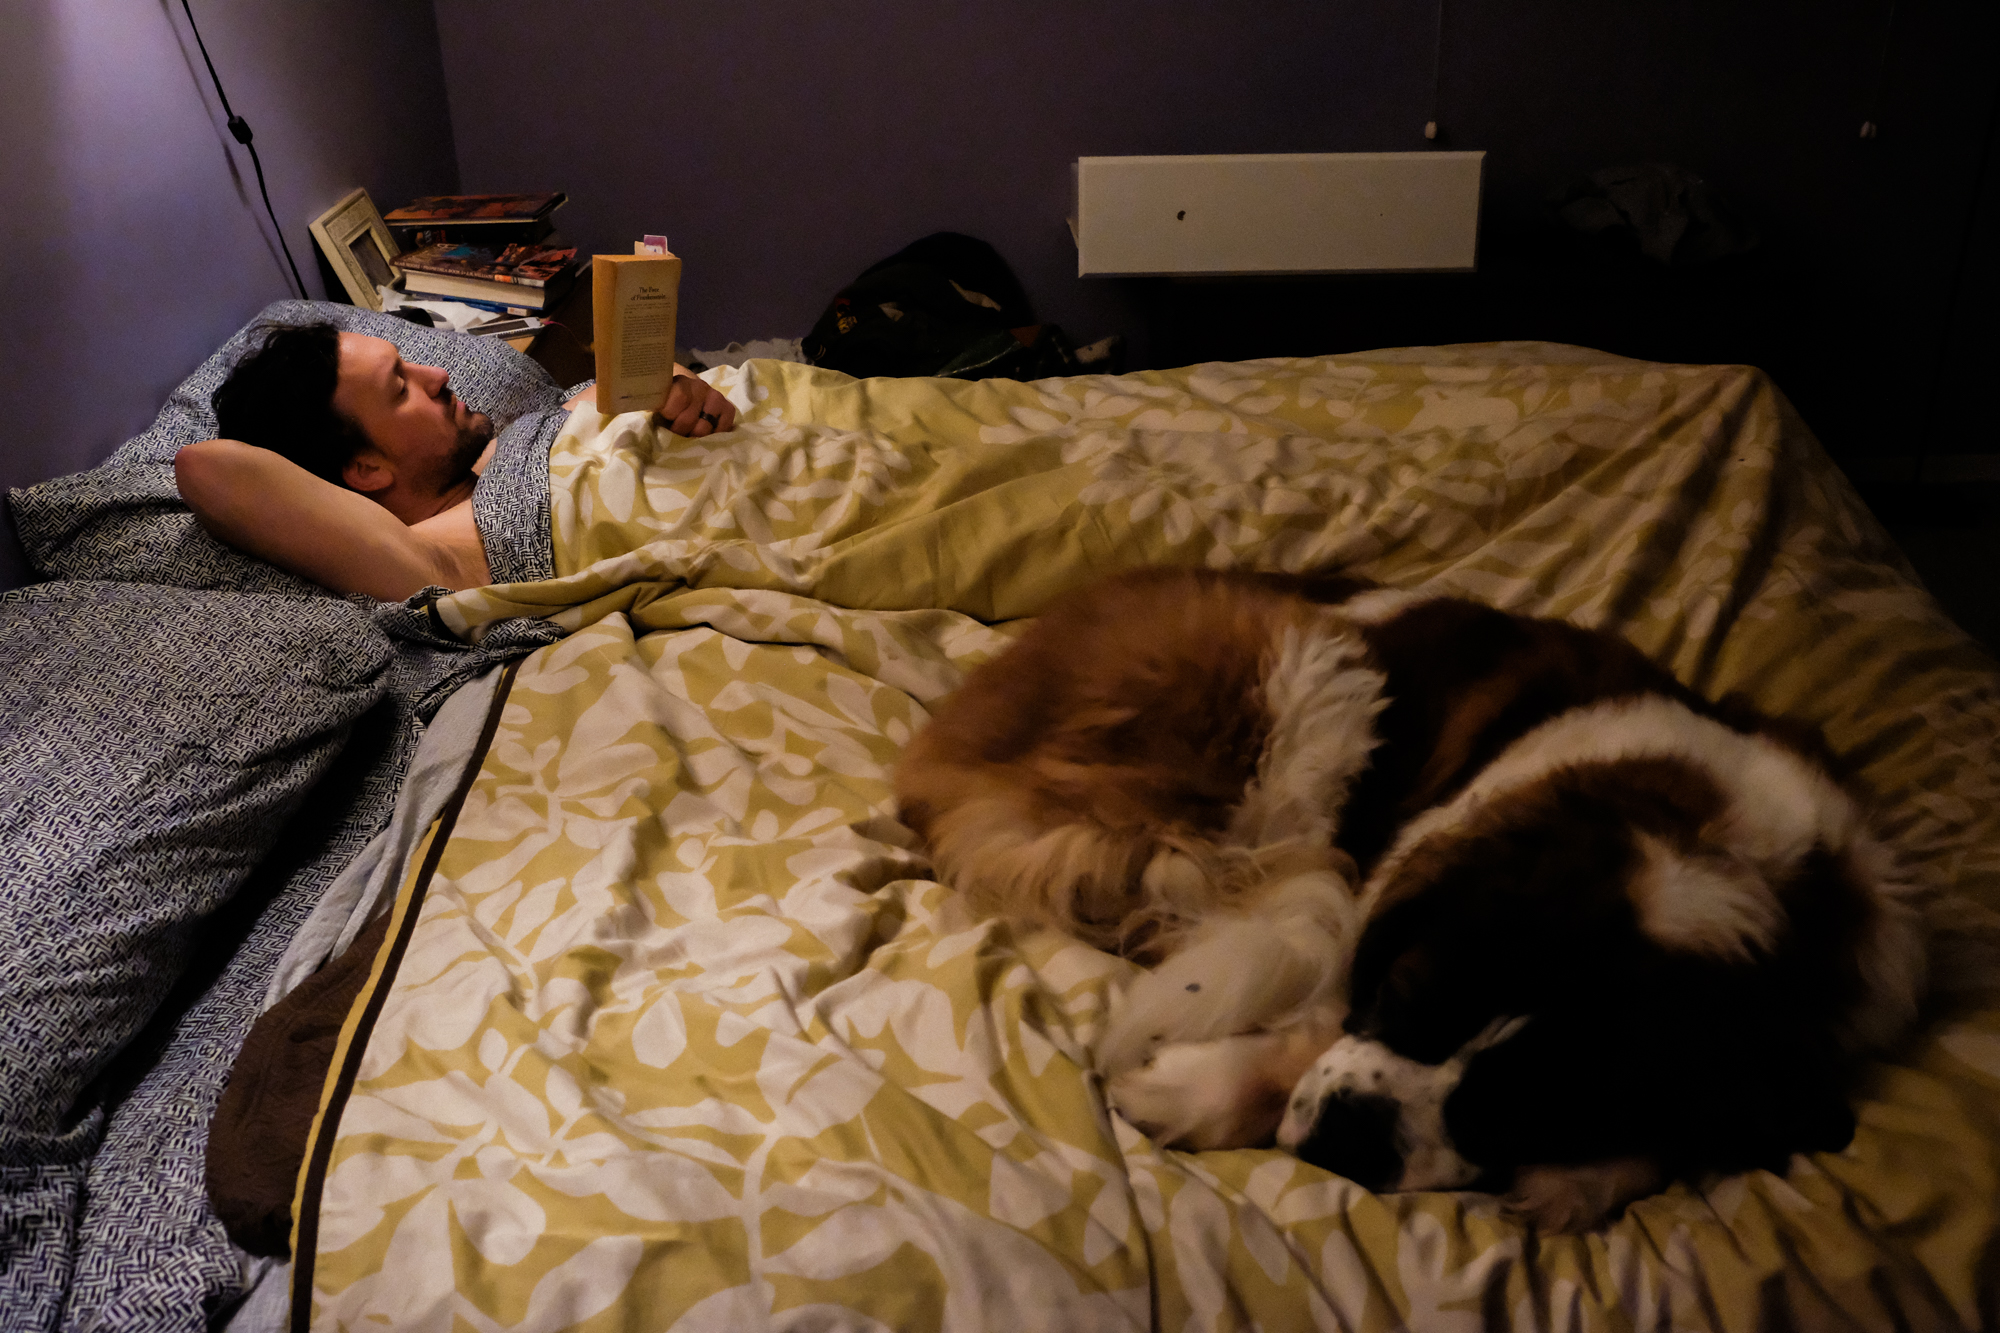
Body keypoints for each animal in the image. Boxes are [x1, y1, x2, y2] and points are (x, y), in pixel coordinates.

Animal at [900, 564, 1928, 1232]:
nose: (1355, 1135)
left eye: (1529, 1105)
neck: (1718, 850)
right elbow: (1315, 1020)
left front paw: (1581, 1179)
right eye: (1399, 996)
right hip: (1314, 672)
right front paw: (1198, 1087)